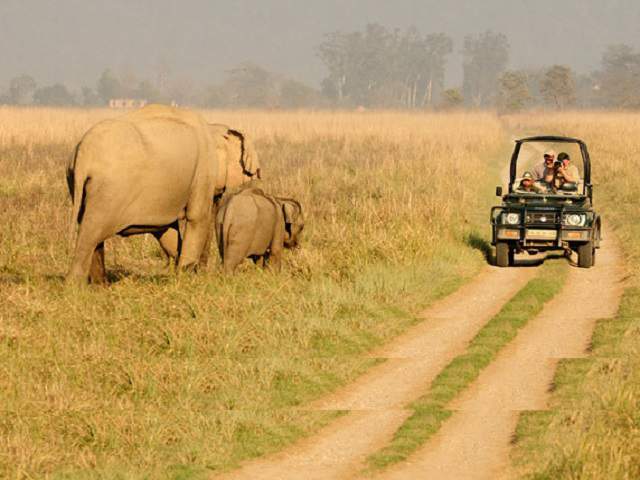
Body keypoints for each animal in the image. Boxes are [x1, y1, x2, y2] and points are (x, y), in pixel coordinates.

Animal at [66, 105, 224, 284]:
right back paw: (75, 285)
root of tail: (83, 155)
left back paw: (100, 285)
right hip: (108, 191)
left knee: (91, 231)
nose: (204, 271)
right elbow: (197, 217)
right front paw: (185, 277)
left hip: (79, 185)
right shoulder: (203, 171)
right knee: (91, 231)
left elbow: (166, 230)